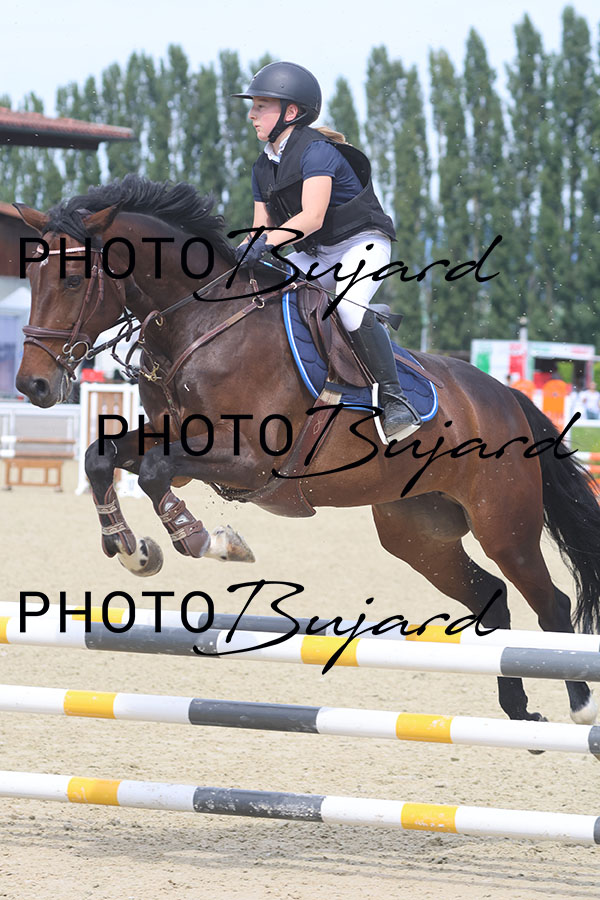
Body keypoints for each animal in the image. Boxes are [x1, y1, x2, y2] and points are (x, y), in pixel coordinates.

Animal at [15, 174, 600, 727]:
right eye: (31, 278)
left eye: (73, 278)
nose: (32, 386)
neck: (200, 326)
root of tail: (506, 396)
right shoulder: (171, 436)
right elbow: (102, 457)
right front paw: (132, 550)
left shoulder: (249, 462)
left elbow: (157, 474)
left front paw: (210, 541)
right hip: (419, 534)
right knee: (491, 599)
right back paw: (518, 708)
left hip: (504, 526)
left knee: (551, 605)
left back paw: (579, 707)